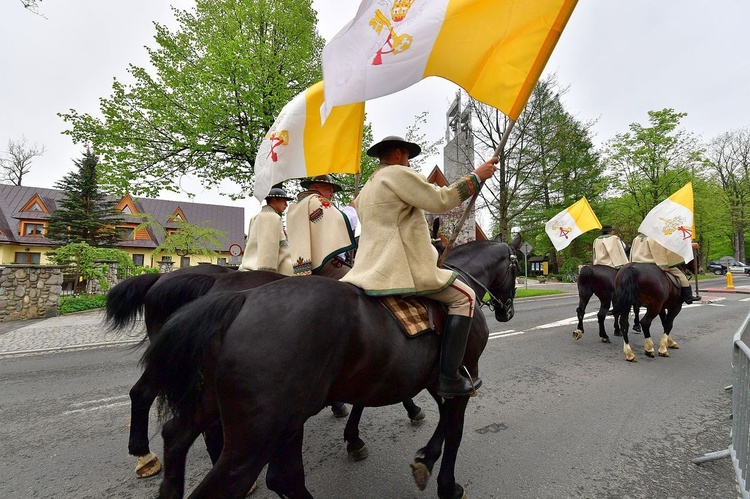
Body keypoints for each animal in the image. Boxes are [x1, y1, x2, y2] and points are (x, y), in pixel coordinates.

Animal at [144, 236, 520, 498]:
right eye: (516, 268)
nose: (507, 312)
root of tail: (239, 300)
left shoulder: (433, 379)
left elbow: (439, 420)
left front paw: (423, 456)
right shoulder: (462, 376)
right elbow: (454, 431)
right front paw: (446, 484)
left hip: (223, 407)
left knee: (178, 436)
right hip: (258, 437)